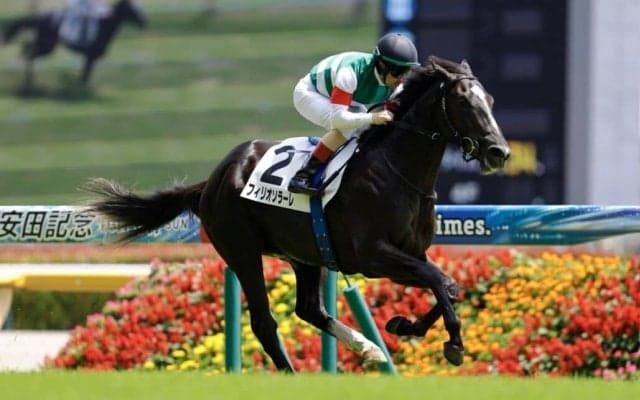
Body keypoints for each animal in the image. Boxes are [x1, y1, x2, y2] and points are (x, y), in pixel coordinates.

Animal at [1, 0, 146, 87]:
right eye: (133, 8)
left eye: (139, 7)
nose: (145, 22)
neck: (104, 23)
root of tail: (40, 16)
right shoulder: (90, 56)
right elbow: (85, 76)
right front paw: (82, 91)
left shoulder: (89, 58)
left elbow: (85, 74)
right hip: (47, 45)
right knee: (29, 54)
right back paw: (29, 83)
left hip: (44, 44)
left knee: (27, 49)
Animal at [84, 55, 511, 372]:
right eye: (464, 101)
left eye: (491, 100)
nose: (499, 152)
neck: (398, 173)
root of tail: (213, 180)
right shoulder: (374, 256)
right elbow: (441, 281)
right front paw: (453, 343)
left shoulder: (412, 253)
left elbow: (446, 285)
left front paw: (405, 324)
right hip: (241, 252)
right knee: (264, 322)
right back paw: (293, 371)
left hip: (306, 254)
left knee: (308, 309)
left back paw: (366, 347)